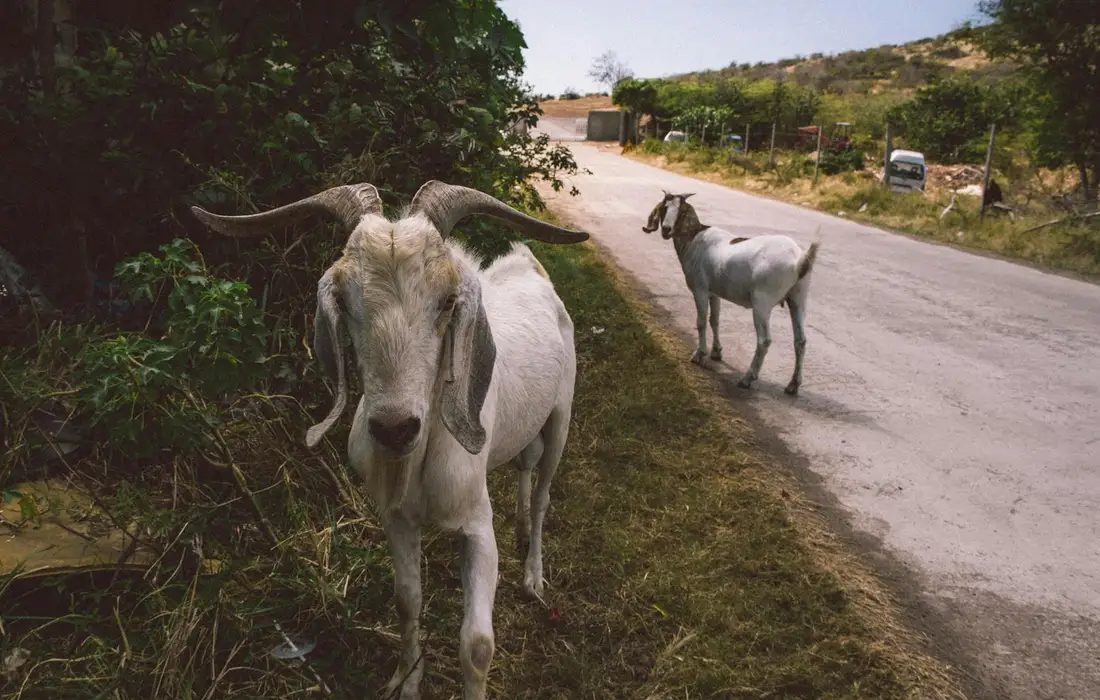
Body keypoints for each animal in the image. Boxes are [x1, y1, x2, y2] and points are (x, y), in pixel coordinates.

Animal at [191, 181, 589, 700]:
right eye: (344, 302)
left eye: (447, 302)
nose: (395, 428)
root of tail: (528, 264)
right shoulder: (396, 518)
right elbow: (406, 601)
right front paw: (407, 679)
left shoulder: (477, 524)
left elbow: (478, 645)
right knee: (525, 467)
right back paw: (521, 527)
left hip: (561, 414)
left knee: (544, 492)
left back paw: (533, 575)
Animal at [642, 191, 819, 395]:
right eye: (665, 207)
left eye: (681, 210)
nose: (666, 229)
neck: (694, 238)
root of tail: (800, 260)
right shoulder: (714, 292)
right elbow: (715, 320)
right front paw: (716, 352)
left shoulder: (700, 288)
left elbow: (701, 322)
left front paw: (699, 355)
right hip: (798, 297)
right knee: (801, 340)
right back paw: (793, 385)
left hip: (762, 301)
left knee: (764, 341)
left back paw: (747, 378)